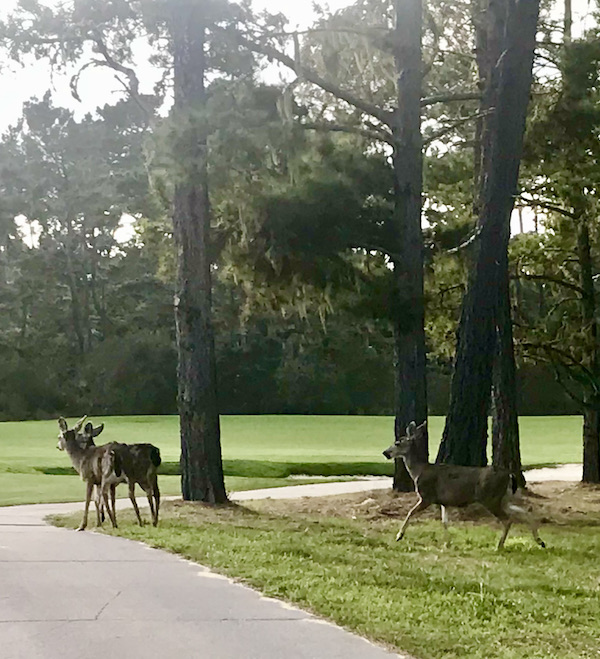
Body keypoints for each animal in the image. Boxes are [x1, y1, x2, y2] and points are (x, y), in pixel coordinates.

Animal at [382, 421, 545, 550]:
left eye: (397, 443)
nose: (385, 452)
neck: (418, 471)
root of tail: (509, 474)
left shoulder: (427, 496)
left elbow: (410, 512)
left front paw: (399, 535)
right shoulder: (444, 502)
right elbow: (444, 522)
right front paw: (447, 544)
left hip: (490, 498)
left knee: (508, 519)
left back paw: (499, 545)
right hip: (502, 497)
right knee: (523, 512)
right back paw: (540, 541)